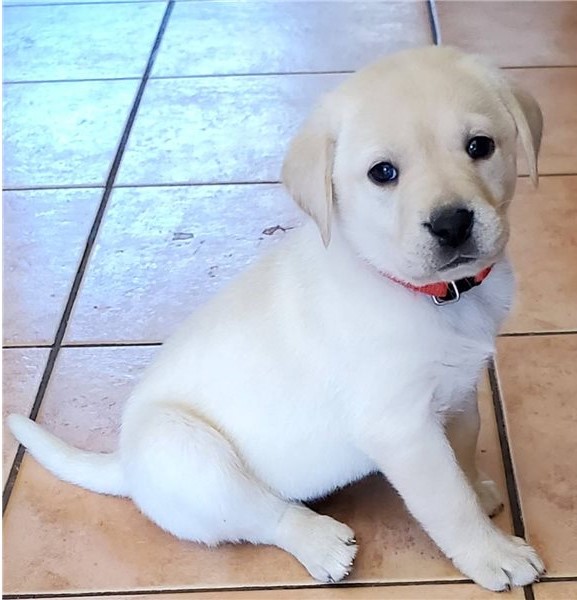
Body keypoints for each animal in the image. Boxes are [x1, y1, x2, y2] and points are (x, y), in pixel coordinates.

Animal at [7, 47, 544, 592]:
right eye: (383, 173)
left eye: (480, 146)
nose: (452, 224)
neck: (420, 291)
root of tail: (125, 467)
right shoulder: (402, 427)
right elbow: (448, 502)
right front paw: (494, 553)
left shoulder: (459, 390)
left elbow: (466, 443)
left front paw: (480, 490)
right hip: (185, 449)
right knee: (260, 513)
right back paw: (321, 543)